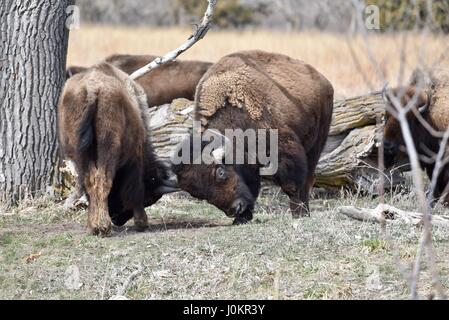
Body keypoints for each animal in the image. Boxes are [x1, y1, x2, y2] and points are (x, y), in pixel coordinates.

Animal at [58, 62, 178, 235]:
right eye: (149, 198)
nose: (117, 219)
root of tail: (93, 89)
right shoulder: (135, 157)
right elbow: (135, 190)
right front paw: (142, 222)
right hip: (109, 147)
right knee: (103, 180)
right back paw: (103, 226)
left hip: (80, 153)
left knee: (90, 181)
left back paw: (94, 227)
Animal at [172, 50, 332, 225]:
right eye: (198, 194)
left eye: (220, 172)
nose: (235, 209)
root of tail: (323, 80)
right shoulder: (248, 162)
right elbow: (252, 185)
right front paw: (242, 218)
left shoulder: (284, 151)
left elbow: (291, 185)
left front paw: (298, 214)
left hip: (317, 142)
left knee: (309, 178)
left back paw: (304, 211)